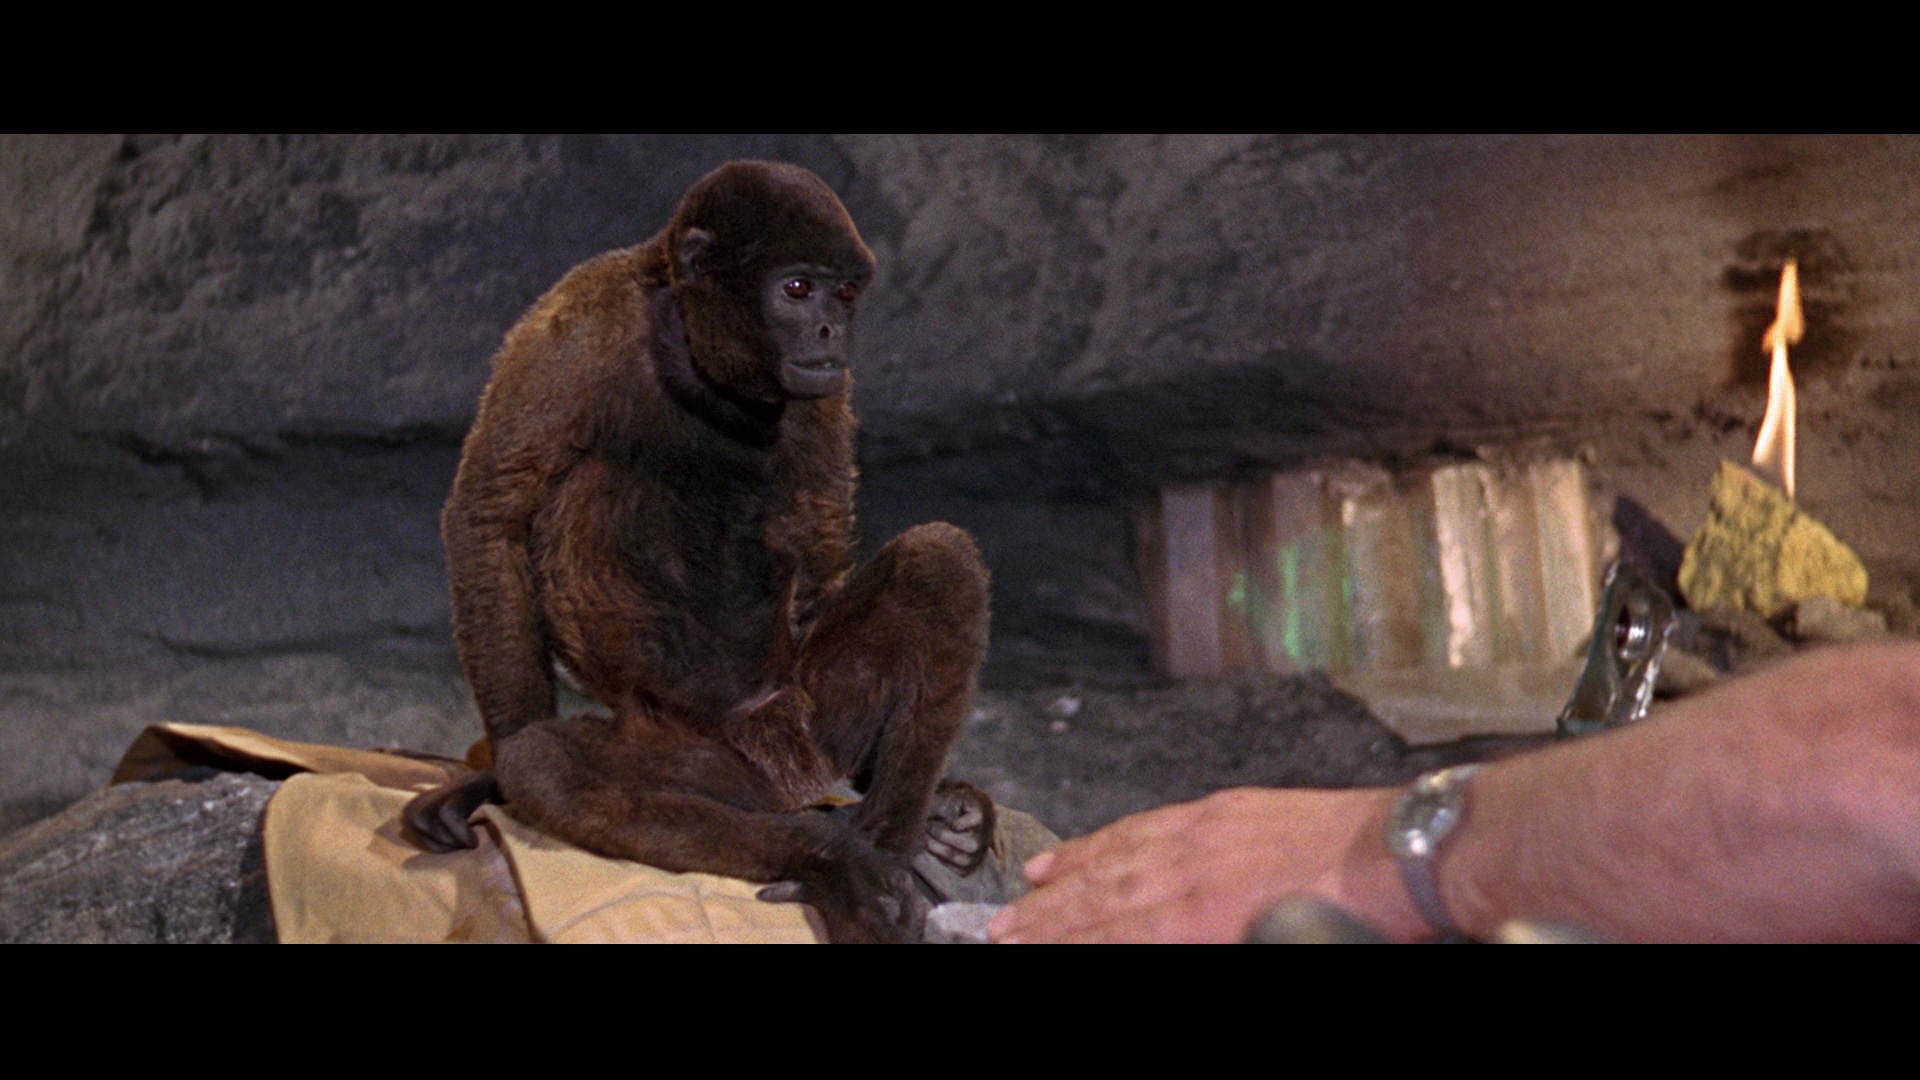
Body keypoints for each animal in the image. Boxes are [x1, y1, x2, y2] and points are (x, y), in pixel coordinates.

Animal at [401, 161, 994, 943]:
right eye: (796, 289)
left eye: (842, 293)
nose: (832, 328)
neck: (692, 345)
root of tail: (789, 779)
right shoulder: (577, 322)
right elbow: (490, 513)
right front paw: (487, 777)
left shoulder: (826, 384)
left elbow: (825, 543)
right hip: (703, 759)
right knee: (551, 763)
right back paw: (828, 855)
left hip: (811, 717)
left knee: (939, 562)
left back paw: (888, 842)